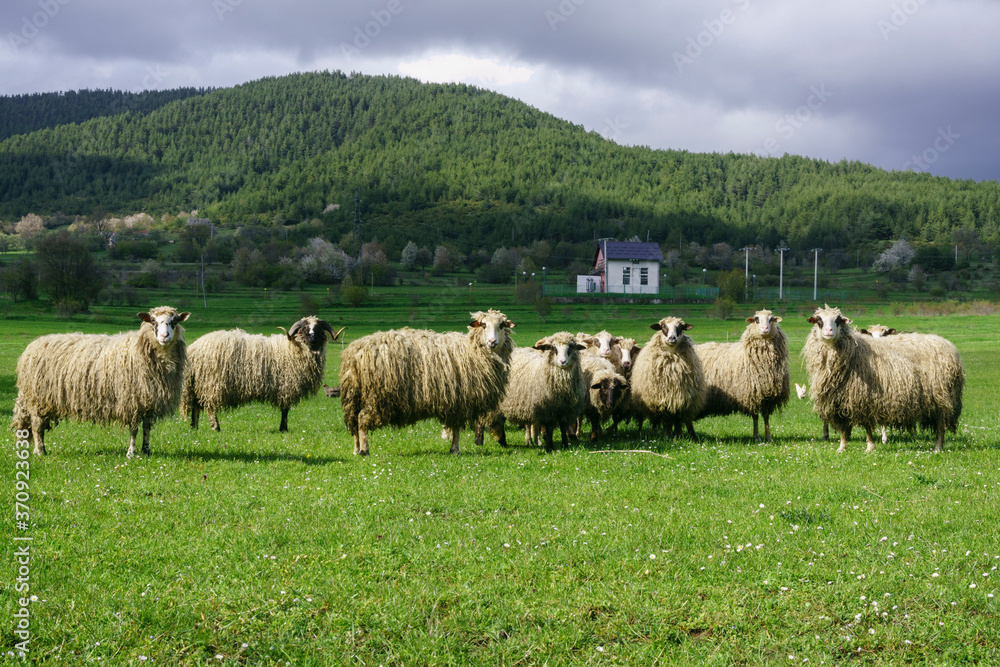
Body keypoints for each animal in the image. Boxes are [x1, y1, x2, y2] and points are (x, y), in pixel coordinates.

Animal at [11, 306, 190, 457]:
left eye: (174, 321)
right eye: (153, 321)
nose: (164, 336)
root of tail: (33, 345)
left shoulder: (148, 401)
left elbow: (146, 428)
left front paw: (146, 451)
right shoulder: (131, 400)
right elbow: (134, 429)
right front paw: (131, 453)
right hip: (37, 399)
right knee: (37, 426)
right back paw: (40, 451)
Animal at [180, 317, 344, 433]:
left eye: (318, 328)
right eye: (304, 328)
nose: (313, 338)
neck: (291, 348)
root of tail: (194, 349)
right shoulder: (286, 386)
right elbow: (285, 410)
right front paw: (283, 429)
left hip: (198, 384)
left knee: (196, 406)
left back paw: (194, 427)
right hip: (211, 384)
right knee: (210, 407)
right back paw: (216, 427)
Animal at [339, 309, 515, 455]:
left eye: (501, 325)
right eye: (484, 325)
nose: (492, 342)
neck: (474, 351)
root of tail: (354, 352)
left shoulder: (455, 402)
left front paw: (453, 449)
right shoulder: (460, 401)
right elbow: (456, 428)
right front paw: (455, 450)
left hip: (354, 395)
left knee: (354, 421)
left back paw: (356, 449)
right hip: (377, 396)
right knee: (362, 419)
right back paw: (365, 450)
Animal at [695, 309, 790, 442]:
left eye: (771, 319)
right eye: (756, 319)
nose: (765, 328)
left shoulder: (767, 397)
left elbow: (766, 417)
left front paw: (768, 437)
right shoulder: (752, 394)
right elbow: (755, 417)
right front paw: (756, 437)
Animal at [802, 305, 964, 453]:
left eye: (838, 320)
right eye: (819, 320)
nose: (829, 331)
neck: (854, 351)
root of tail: (949, 346)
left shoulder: (864, 397)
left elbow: (867, 426)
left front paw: (870, 447)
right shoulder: (841, 399)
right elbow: (845, 427)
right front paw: (842, 447)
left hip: (943, 396)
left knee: (941, 424)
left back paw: (938, 447)